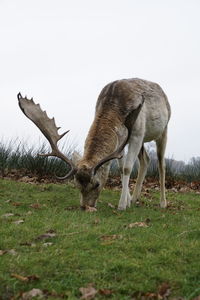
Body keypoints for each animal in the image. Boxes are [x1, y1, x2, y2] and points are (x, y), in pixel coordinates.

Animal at [17, 79, 170, 211]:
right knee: (146, 159)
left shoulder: (137, 133)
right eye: (76, 184)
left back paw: (163, 203)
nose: (85, 207)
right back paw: (134, 199)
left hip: (163, 130)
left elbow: (127, 168)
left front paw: (121, 206)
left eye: (97, 184)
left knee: (161, 164)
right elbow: (121, 169)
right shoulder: (121, 140)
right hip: (144, 140)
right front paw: (127, 201)